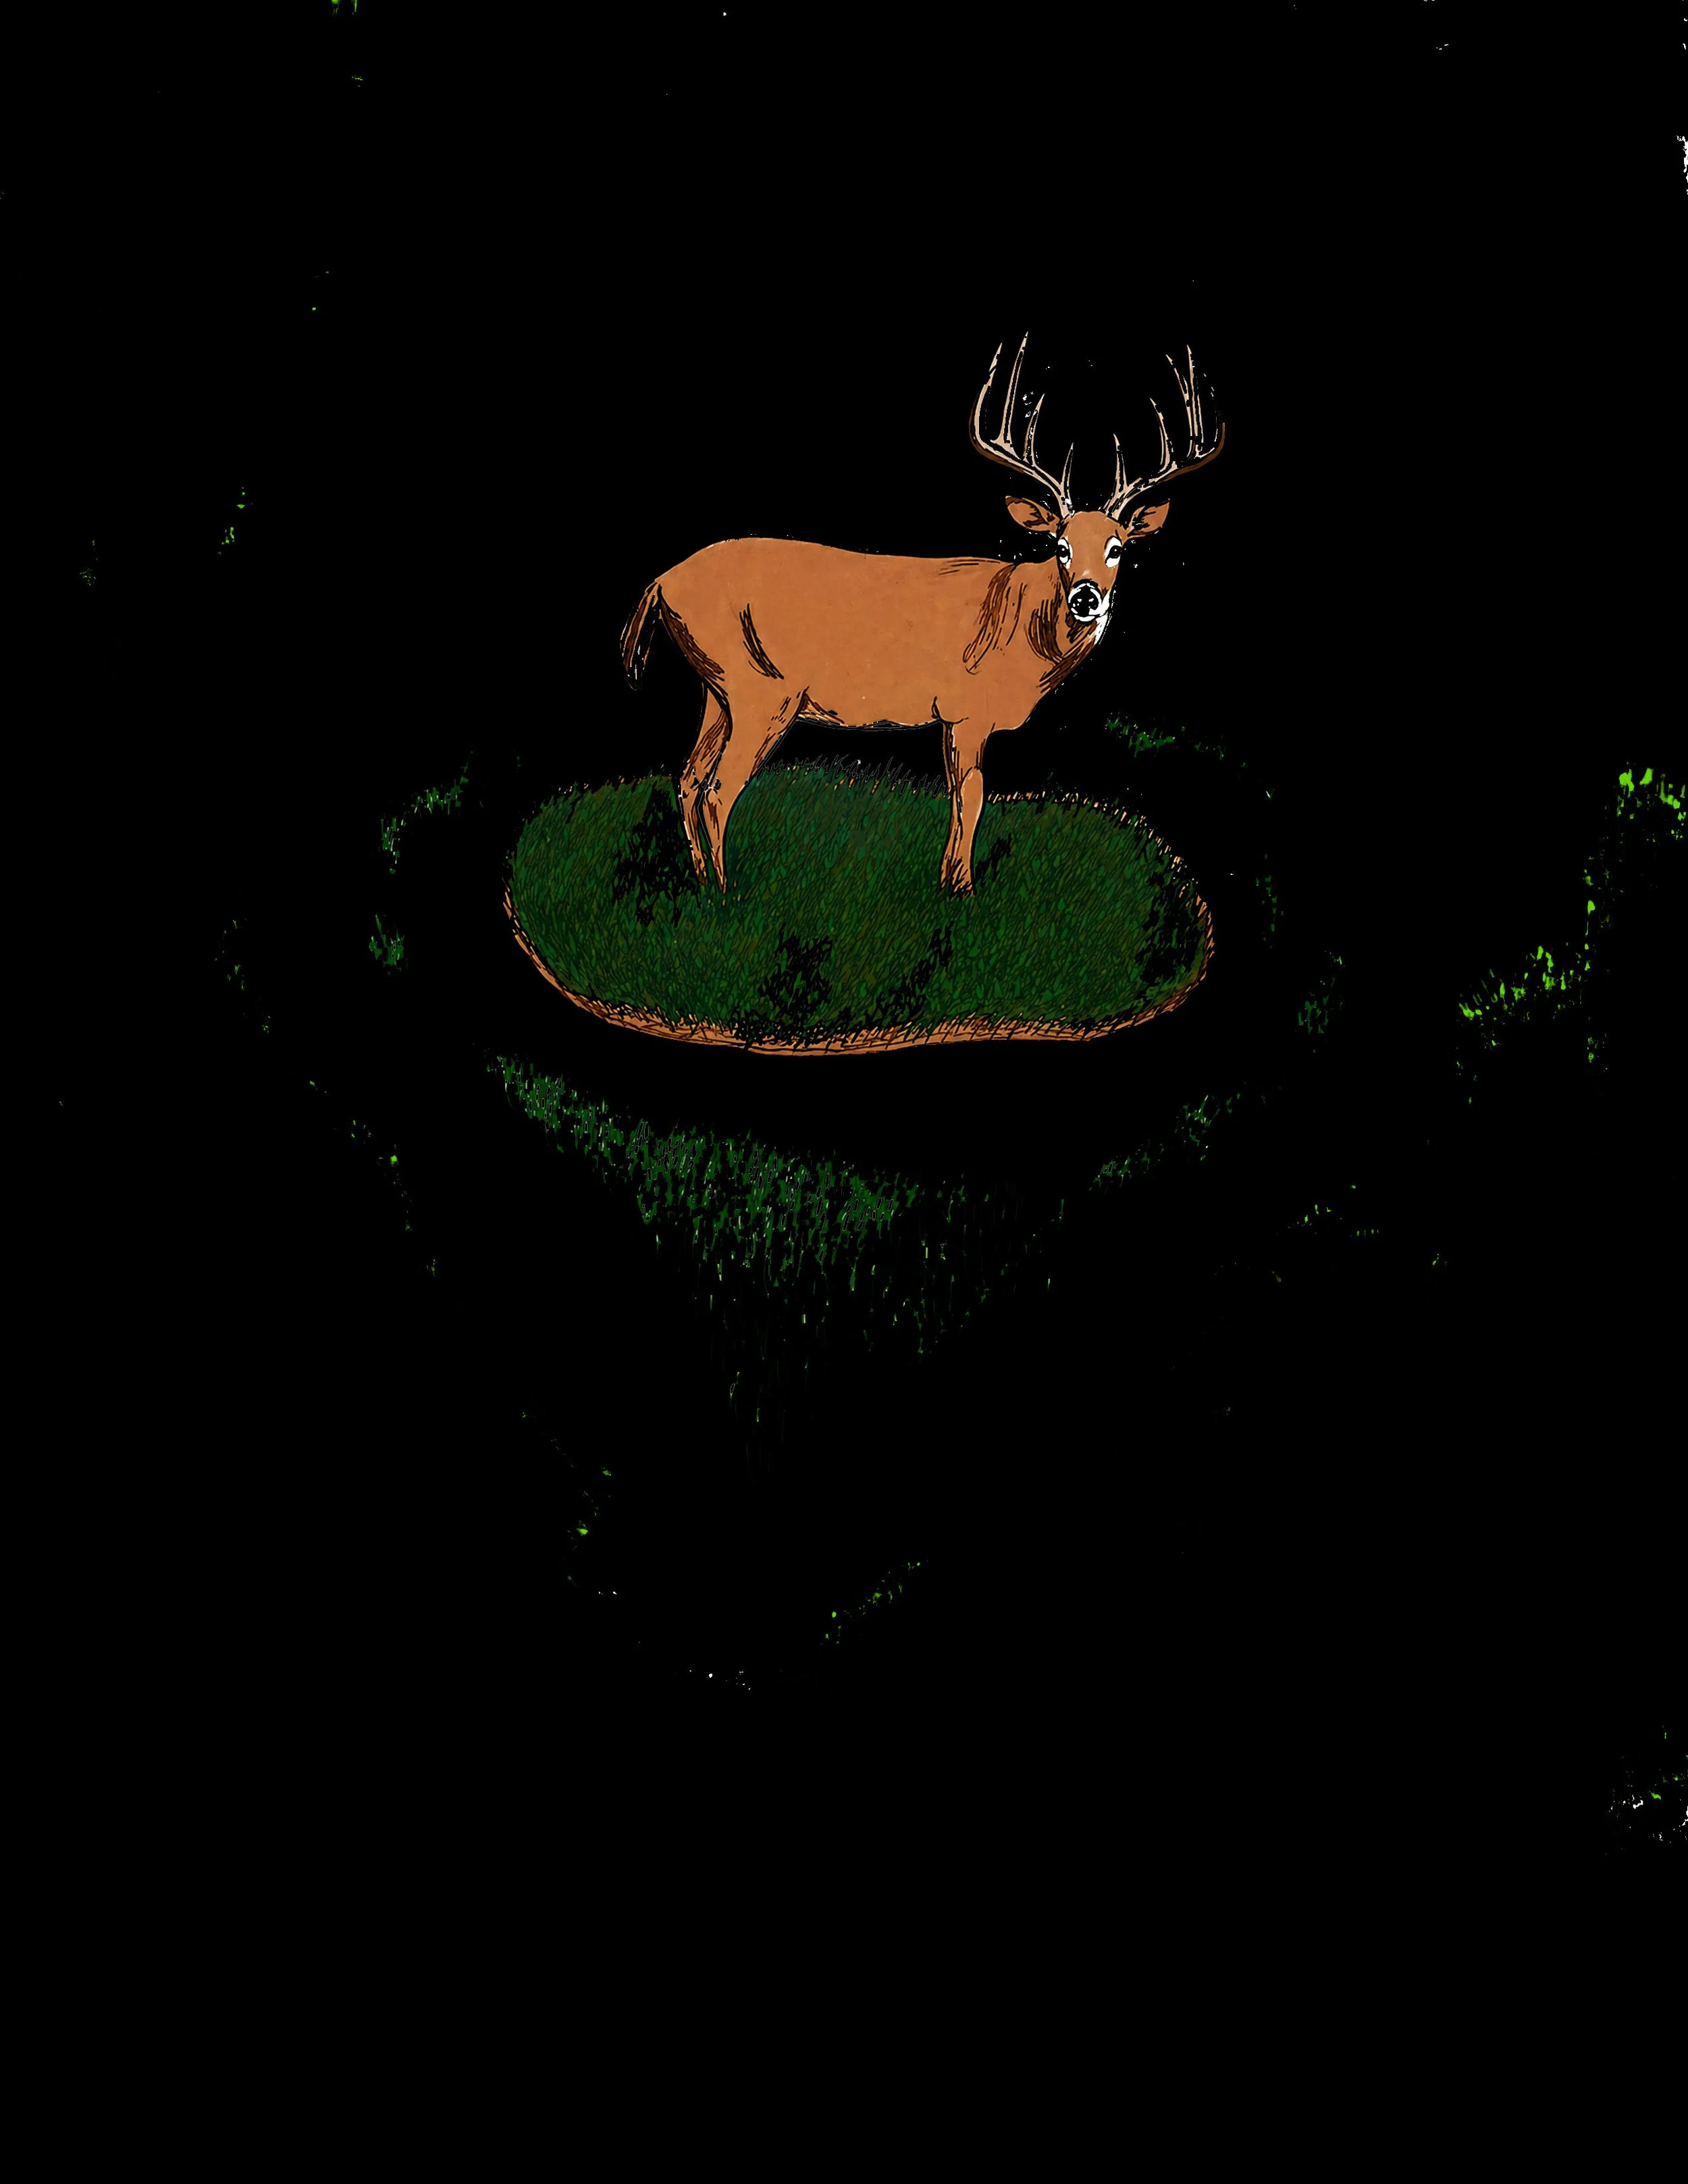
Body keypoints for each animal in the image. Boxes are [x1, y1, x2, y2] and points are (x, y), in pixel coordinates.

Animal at [619, 336, 1224, 896]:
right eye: (1060, 545)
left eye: (1119, 547)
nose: (1086, 597)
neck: (1021, 630)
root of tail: (659, 582)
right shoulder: (967, 708)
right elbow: (973, 796)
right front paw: (963, 890)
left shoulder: (954, 716)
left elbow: (960, 796)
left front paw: (947, 881)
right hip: (761, 690)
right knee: (719, 787)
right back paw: (726, 895)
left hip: (715, 686)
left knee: (689, 776)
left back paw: (700, 880)